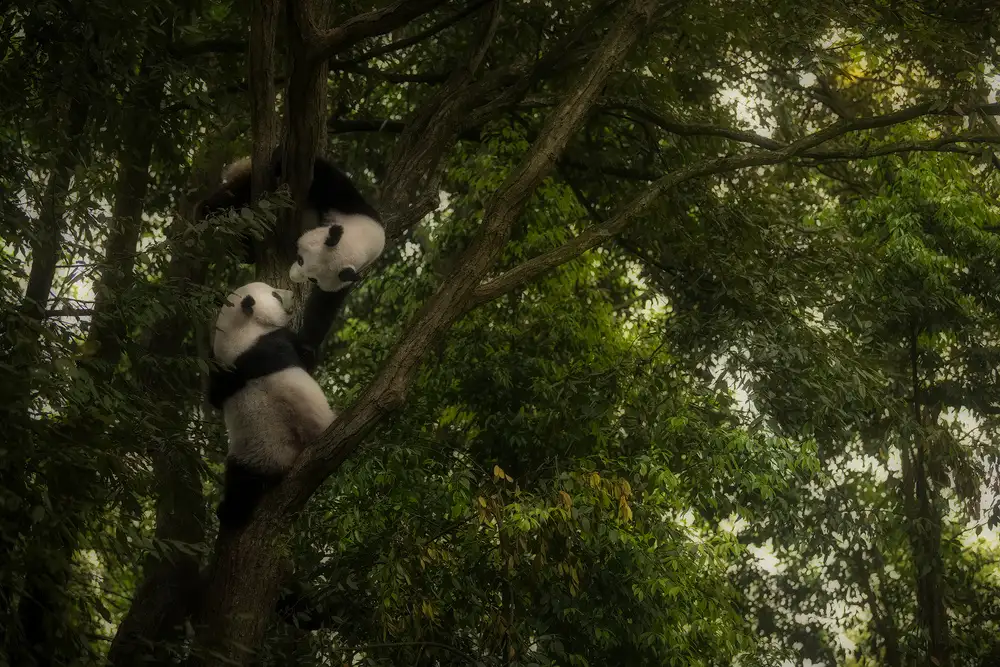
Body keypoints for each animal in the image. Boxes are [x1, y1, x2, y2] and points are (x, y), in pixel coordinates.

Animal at [208, 281, 337, 528]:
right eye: (275, 294)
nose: (292, 295)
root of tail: (279, 465)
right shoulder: (275, 341)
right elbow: (307, 353)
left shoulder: (222, 371)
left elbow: (214, 397)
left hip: (246, 454)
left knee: (240, 483)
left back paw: (229, 513)